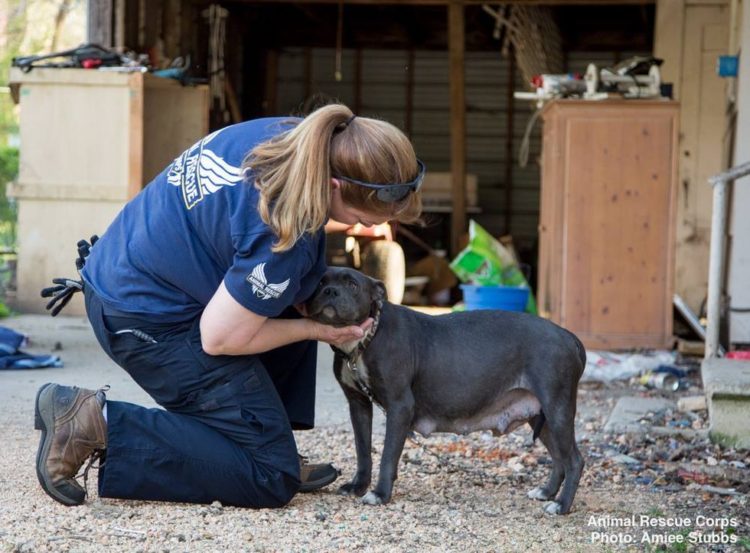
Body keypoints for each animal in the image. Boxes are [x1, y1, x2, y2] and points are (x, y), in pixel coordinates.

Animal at [306, 268, 588, 512]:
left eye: (353, 285)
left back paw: (562, 506)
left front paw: (380, 494)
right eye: (319, 282)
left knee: (573, 460)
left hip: (557, 409)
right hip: (542, 415)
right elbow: (363, 450)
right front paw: (358, 486)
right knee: (559, 459)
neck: (365, 340)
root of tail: (568, 336)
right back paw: (546, 493)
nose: (330, 291)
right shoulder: (358, 405)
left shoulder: (399, 407)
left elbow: (387, 456)